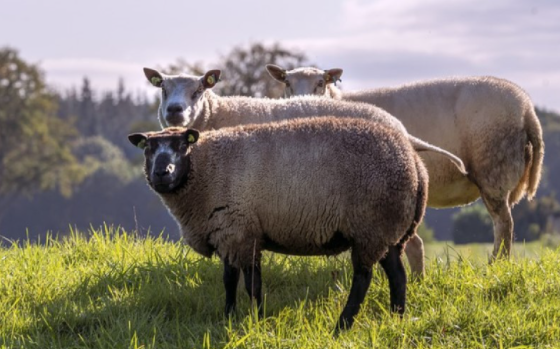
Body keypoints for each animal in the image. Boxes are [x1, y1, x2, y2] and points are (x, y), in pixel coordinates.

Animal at [129, 116, 428, 328]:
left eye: (182, 146)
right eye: (148, 149)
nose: (162, 172)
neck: (203, 168)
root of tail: (415, 163)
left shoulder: (242, 231)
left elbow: (252, 284)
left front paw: (256, 321)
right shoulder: (229, 233)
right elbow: (228, 280)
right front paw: (228, 316)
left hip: (371, 227)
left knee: (363, 279)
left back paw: (342, 326)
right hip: (388, 232)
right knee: (398, 276)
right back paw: (396, 319)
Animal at [264, 64, 544, 258]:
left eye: (321, 83)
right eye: (287, 82)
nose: (300, 102)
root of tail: (526, 108)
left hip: (493, 170)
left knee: (504, 226)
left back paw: (495, 265)